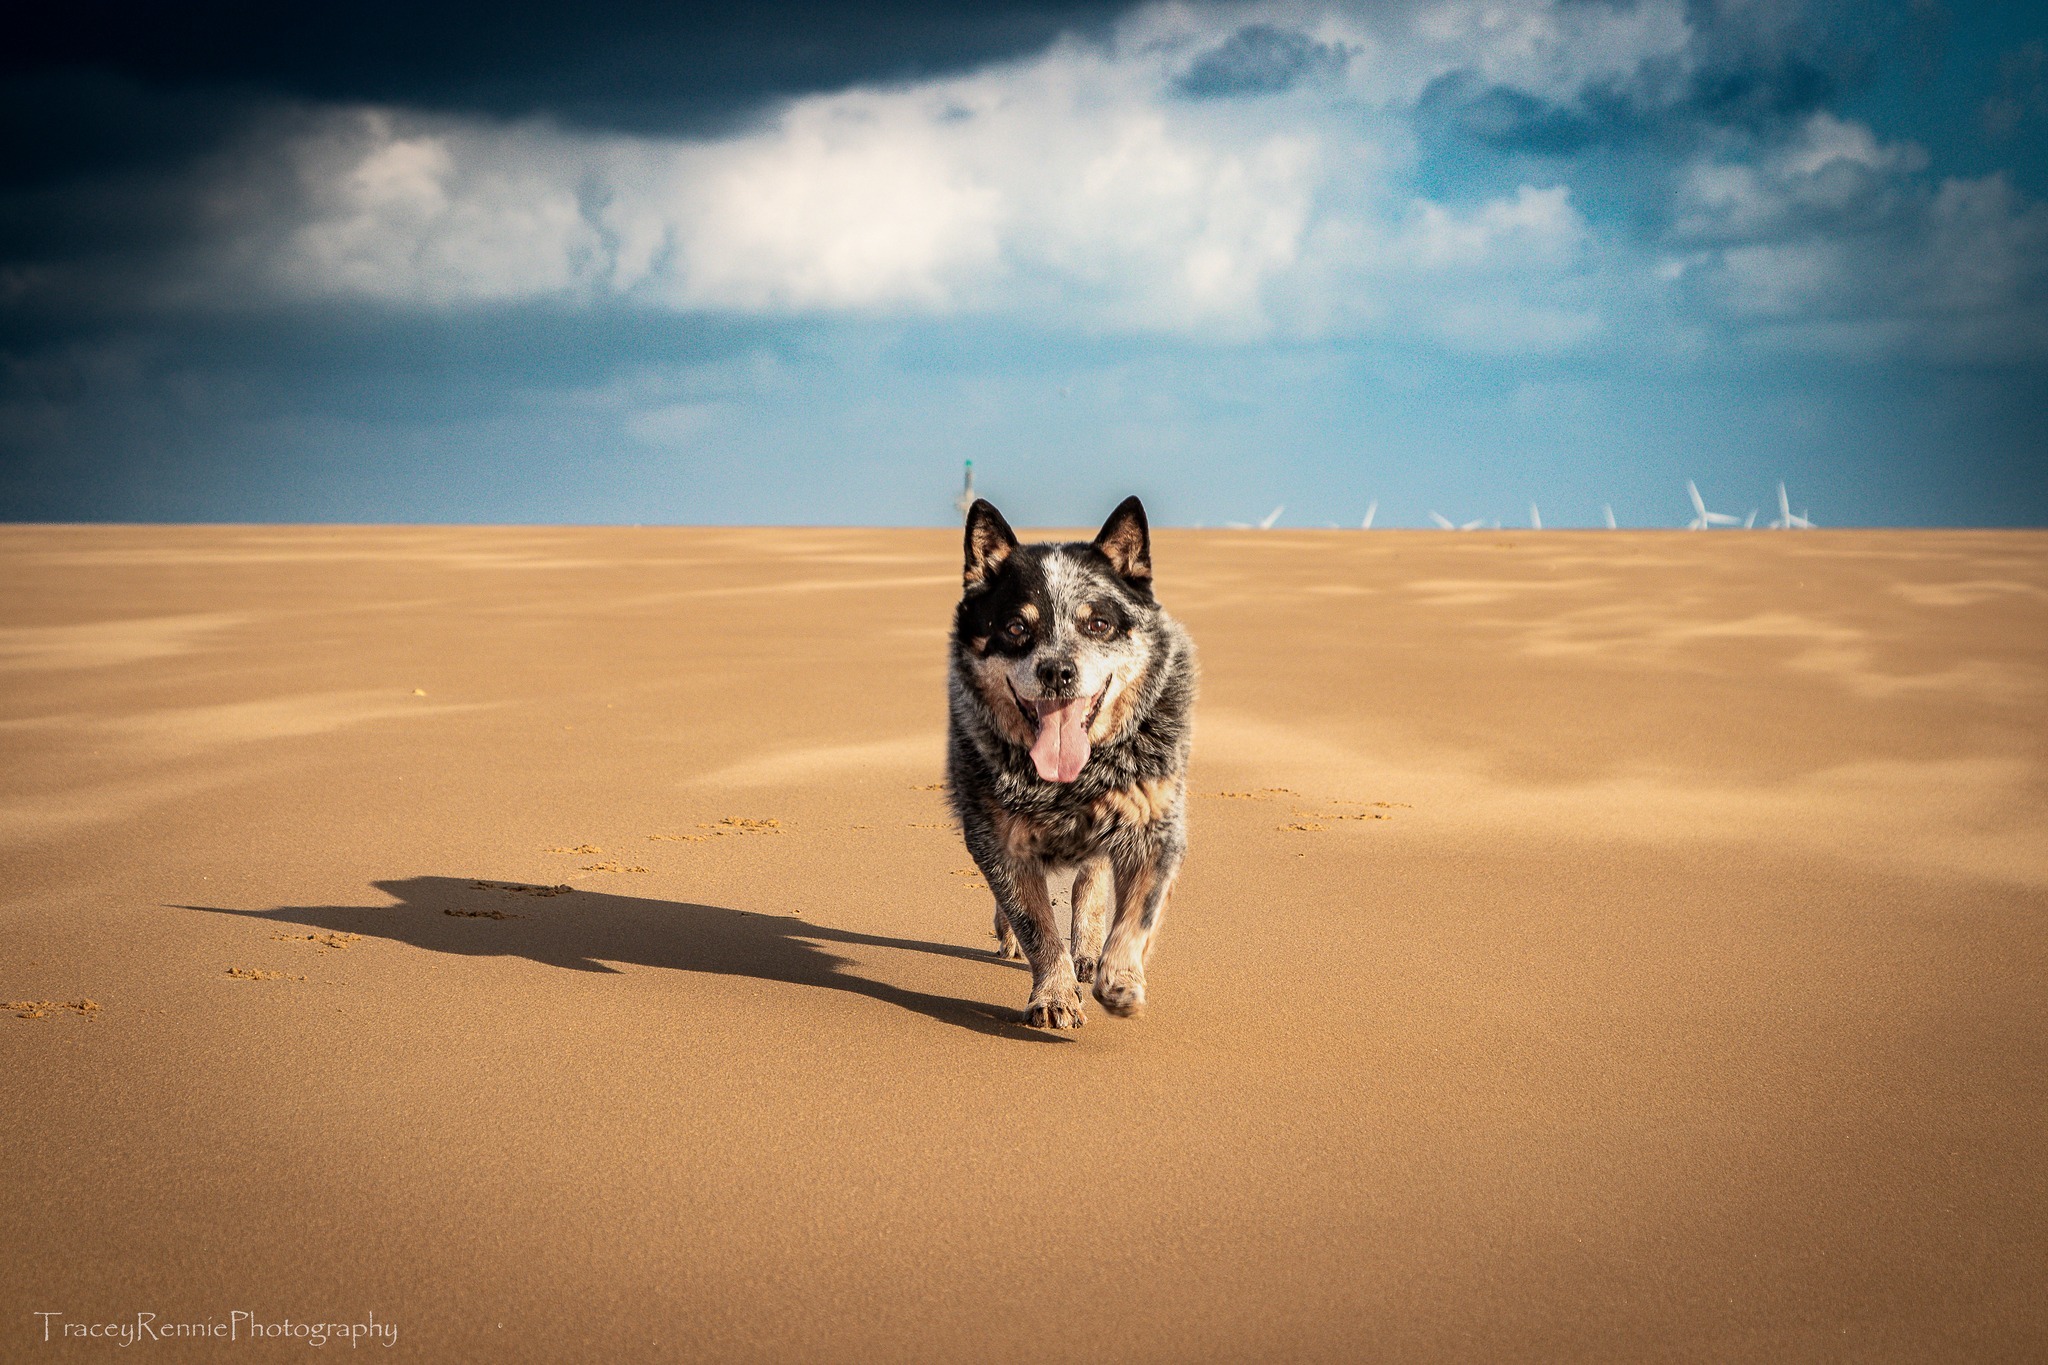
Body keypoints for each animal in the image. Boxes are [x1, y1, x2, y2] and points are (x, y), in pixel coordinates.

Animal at [937, 497, 1196, 1031]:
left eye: (1098, 624)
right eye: (1016, 628)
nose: (1056, 671)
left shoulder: (1155, 828)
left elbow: (1136, 915)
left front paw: (1119, 978)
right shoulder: (996, 839)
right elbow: (1034, 923)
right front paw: (1054, 993)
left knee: (1089, 882)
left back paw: (1090, 953)